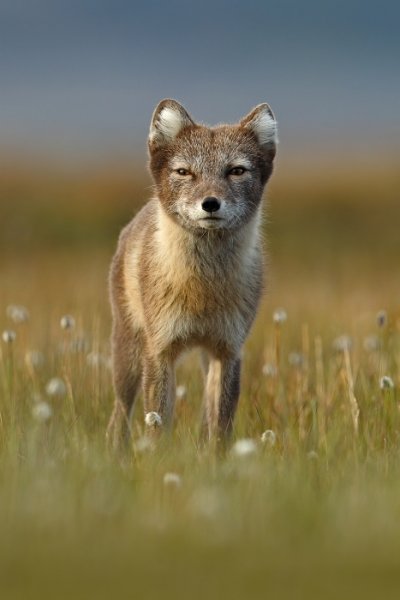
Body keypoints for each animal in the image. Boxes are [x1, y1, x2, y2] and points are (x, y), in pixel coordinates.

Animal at [107, 98, 278, 446]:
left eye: (236, 170)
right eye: (184, 172)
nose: (210, 203)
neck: (202, 291)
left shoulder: (228, 351)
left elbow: (220, 428)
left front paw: (218, 458)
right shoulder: (160, 350)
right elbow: (157, 425)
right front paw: (158, 458)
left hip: (204, 358)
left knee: (204, 418)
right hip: (128, 358)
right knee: (118, 417)